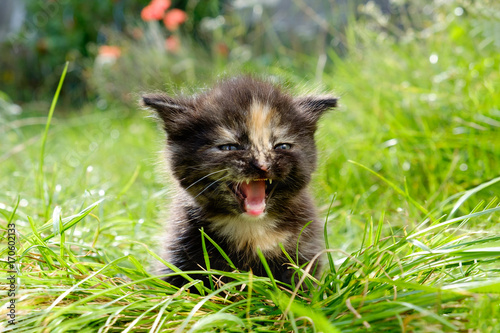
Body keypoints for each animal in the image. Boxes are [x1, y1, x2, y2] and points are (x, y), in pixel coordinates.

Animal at [143, 76, 338, 288]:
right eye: (230, 147)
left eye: (282, 146)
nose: (263, 165)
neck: (250, 227)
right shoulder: (179, 249)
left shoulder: (303, 249)